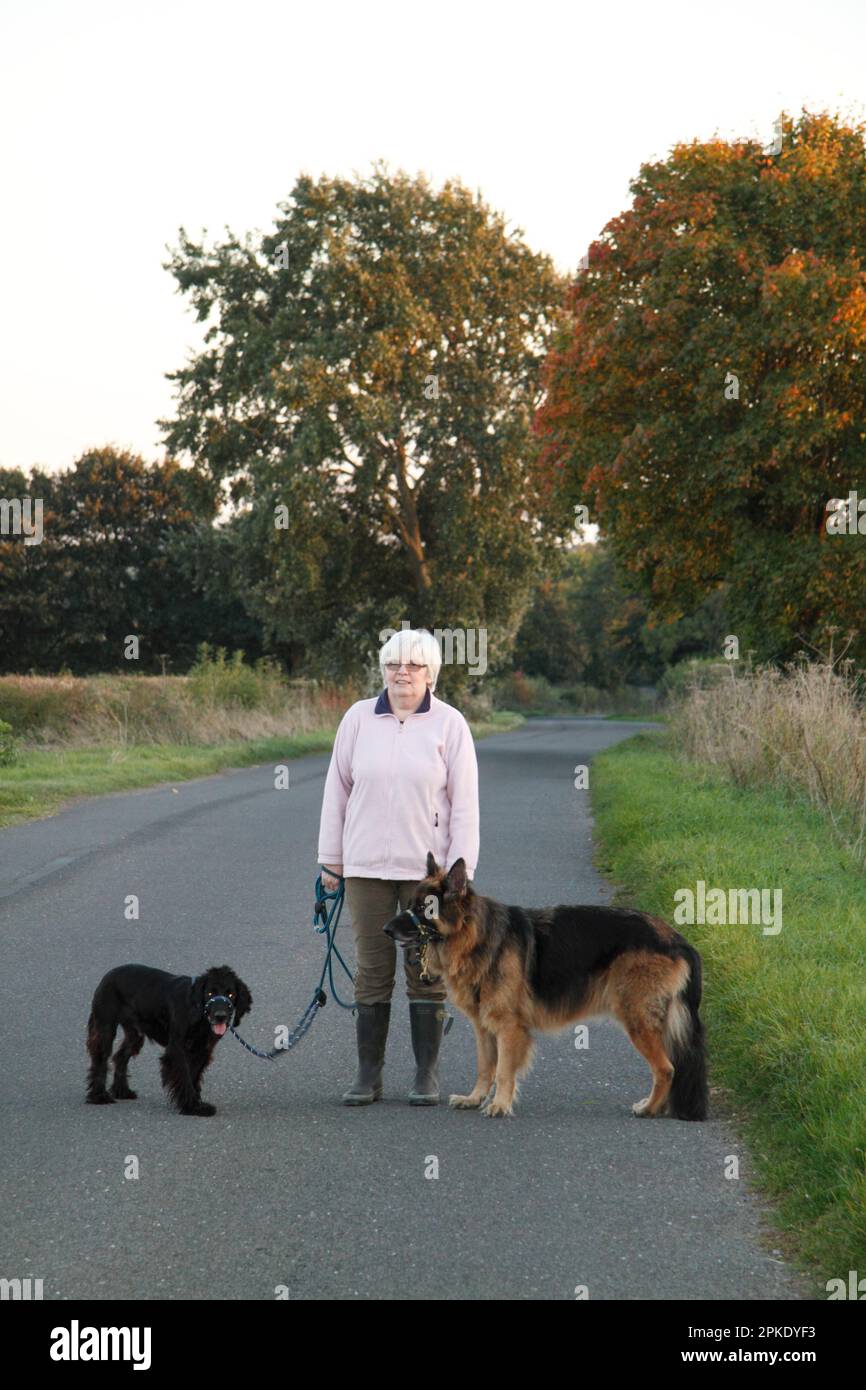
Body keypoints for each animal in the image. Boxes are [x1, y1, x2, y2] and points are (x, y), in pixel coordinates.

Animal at [389, 856, 711, 1117]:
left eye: (424, 908)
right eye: (410, 905)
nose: (386, 929)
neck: (476, 936)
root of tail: (678, 939)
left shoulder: (509, 1027)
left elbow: (503, 1071)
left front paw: (500, 1105)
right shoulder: (484, 1027)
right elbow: (485, 1068)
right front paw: (475, 1098)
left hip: (637, 1020)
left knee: (666, 1068)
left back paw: (650, 1108)